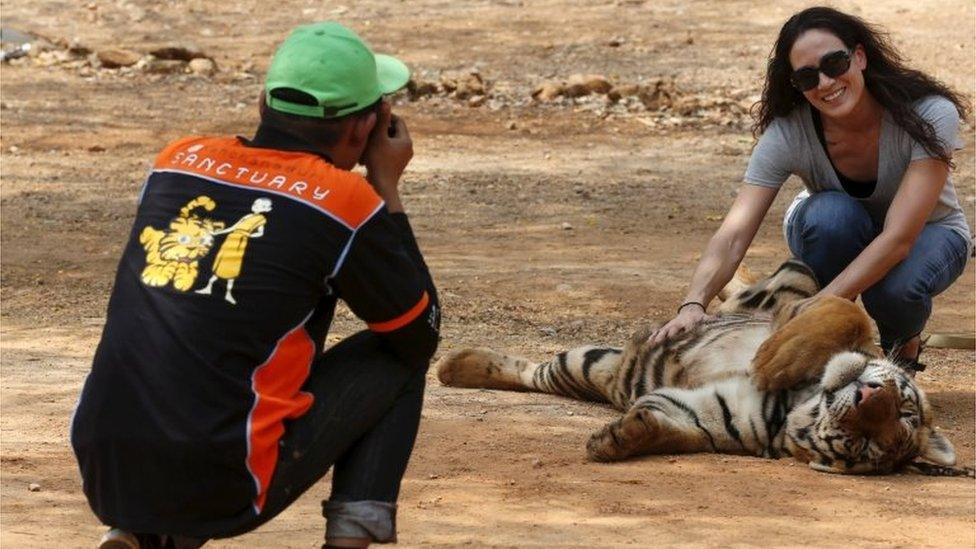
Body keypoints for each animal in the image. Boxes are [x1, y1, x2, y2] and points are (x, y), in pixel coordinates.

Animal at [440, 258, 968, 476]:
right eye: (904, 408)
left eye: (867, 445)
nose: (868, 395)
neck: (801, 402)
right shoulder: (812, 314)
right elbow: (844, 313)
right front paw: (773, 357)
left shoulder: (709, 416)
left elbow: (664, 426)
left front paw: (616, 439)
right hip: (793, 277)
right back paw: (452, 365)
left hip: (593, 366)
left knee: (542, 373)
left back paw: (454, 366)